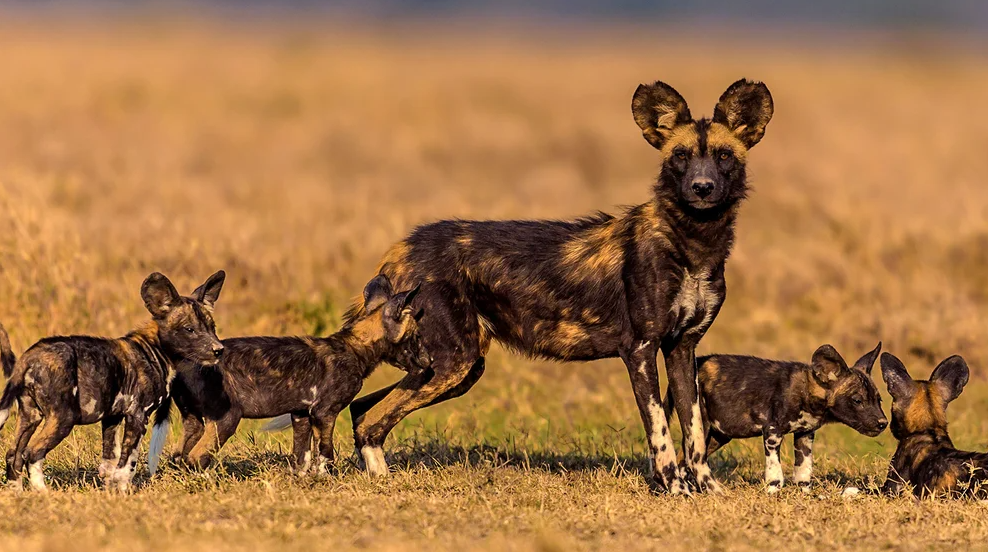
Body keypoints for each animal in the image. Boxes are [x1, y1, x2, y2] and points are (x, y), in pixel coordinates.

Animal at [0, 272, 225, 492]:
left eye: (212, 327)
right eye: (189, 329)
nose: (219, 350)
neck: (154, 349)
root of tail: (30, 356)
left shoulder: (112, 418)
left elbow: (110, 463)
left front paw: (110, 492)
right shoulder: (137, 416)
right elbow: (127, 465)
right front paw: (124, 493)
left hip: (30, 416)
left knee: (14, 455)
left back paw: (17, 493)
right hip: (63, 419)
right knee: (32, 453)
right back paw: (43, 493)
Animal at [152, 274, 430, 472]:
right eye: (416, 337)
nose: (430, 361)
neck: (354, 348)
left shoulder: (301, 414)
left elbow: (301, 457)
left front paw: (302, 480)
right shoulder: (324, 413)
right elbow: (326, 455)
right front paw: (324, 481)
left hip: (194, 422)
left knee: (179, 456)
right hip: (227, 420)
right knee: (196, 458)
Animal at [346, 76, 772, 492]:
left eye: (724, 156)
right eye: (680, 156)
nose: (702, 187)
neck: (692, 244)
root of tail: (403, 247)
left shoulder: (682, 349)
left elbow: (694, 431)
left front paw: (708, 490)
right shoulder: (640, 350)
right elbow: (661, 432)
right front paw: (674, 488)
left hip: (453, 369)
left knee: (362, 409)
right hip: (454, 362)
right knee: (372, 417)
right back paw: (381, 483)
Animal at [664, 342, 888, 494]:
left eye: (879, 400)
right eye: (857, 400)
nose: (883, 424)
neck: (807, 391)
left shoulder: (805, 434)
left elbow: (803, 472)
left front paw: (804, 495)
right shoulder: (772, 432)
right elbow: (775, 474)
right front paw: (773, 493)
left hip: (718, 436)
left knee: (686, 460)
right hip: (701, 427)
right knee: (686, 459)